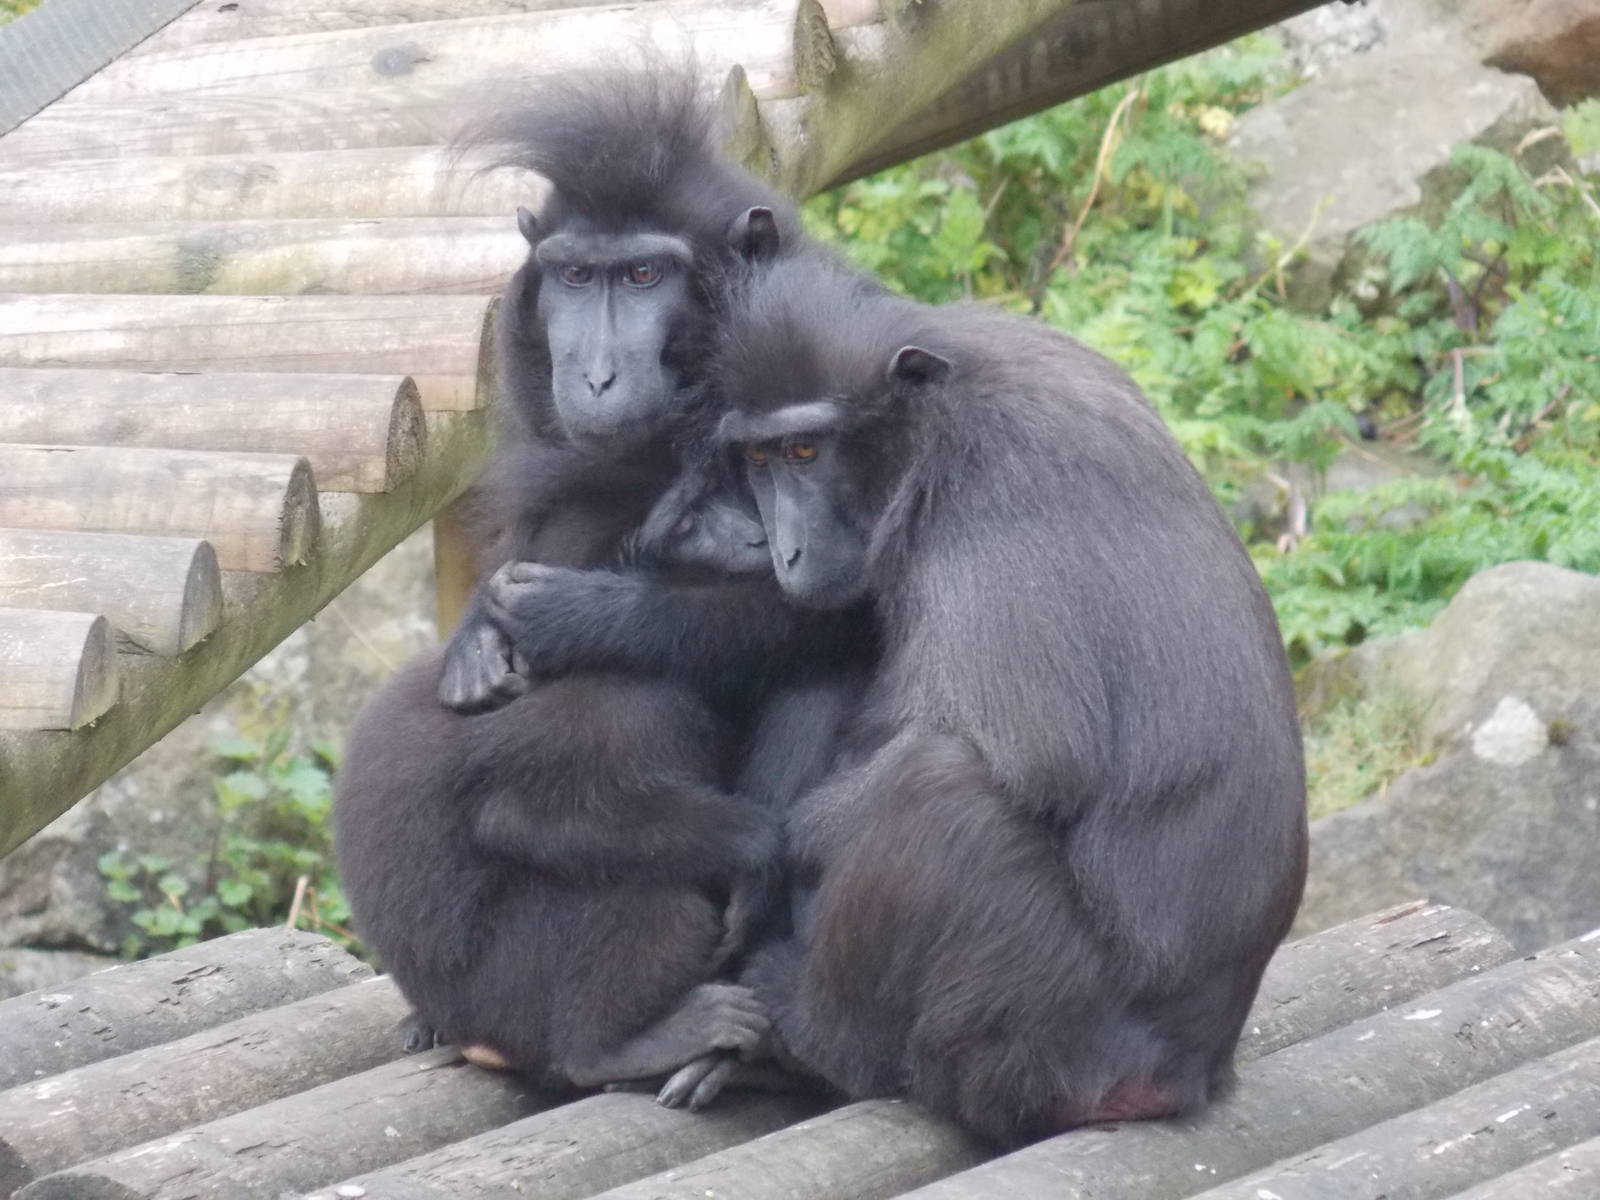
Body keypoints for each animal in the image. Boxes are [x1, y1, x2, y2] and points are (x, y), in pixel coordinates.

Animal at [487, 252, 1309, 1144]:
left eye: (806, 450)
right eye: (762, 461)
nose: (787, 547)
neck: (946, 399)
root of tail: (1188, 1070)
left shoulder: (989, 489)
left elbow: (1032, 754)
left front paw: (590, 619)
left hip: (1046, 1043)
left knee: (935, 792)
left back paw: (805, 1037)